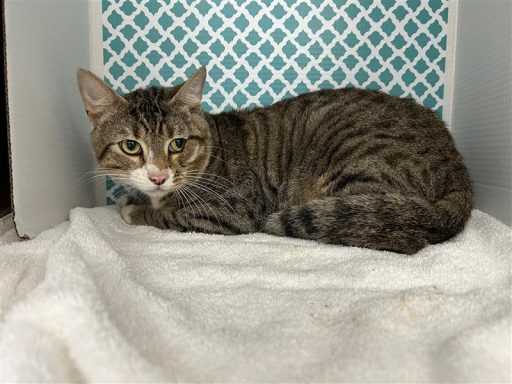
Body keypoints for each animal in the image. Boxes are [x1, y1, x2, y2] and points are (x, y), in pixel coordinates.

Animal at [76, 67, 472, 254]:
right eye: (131, 146)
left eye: (178, 144)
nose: (158, 176)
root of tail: (457, 166)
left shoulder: (231, 211)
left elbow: (167, 216)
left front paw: (136, 209)